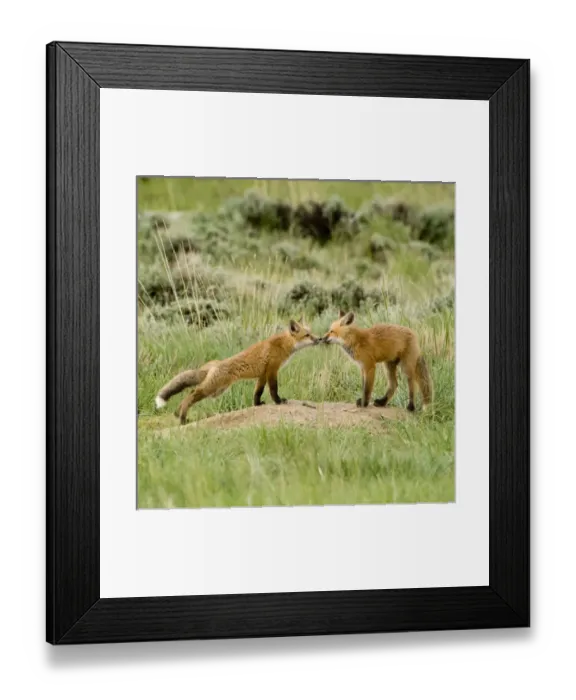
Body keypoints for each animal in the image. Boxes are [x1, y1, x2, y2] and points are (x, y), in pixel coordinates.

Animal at [155, 319, 320, 425]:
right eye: (307, 335)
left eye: (312, 333)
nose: (319, 339)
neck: (283, 344)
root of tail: (214, 364)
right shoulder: (272, 370)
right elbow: (273, 390)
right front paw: (279, 401)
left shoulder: (263, 374)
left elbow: (257, 392)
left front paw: (257, 404)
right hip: (212, 388)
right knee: (191, 394)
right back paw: (182, 418)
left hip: (217, 390)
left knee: (189, 394)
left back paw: (177, 414)